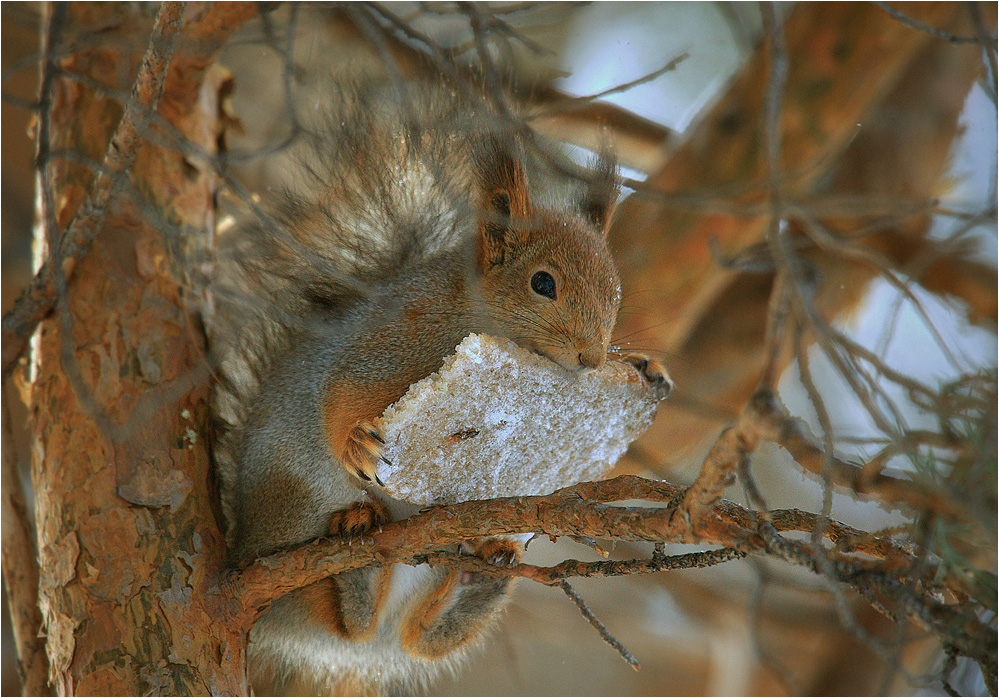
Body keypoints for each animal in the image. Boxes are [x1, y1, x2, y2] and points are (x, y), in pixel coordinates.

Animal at [209, 79, 672, 692]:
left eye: (615, 291)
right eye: (542, 283)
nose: (592, 357)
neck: (474, 313)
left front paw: (647, 366)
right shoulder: (397, 335)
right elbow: (341, 390)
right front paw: (356, 443)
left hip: (431, 571)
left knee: (418, 637)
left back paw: (481, 574)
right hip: (296, 509)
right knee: (346, 620)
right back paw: (356, 546)